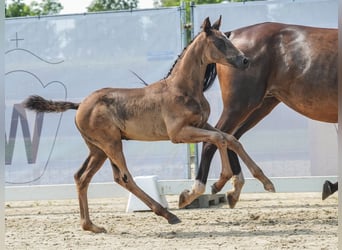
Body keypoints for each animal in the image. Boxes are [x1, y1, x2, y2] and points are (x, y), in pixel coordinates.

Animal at [24, 16, 270, 233]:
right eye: (219, 42)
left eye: (228, 39)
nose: (245, 61)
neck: (183, 88)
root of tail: (80, 105)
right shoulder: (179, 134)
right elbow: (219, 139)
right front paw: (219, 183)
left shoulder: (202, 123)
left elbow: (230, 138)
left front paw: (263, 182)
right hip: (111, 144)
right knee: (124, 177)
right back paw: (168, 214)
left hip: (98, 149)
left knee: (82, 177)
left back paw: (91, 226)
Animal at [178, 21, 338, 209]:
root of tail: (233, 34)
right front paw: (330, 186)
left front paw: (330, 186)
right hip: (240, 105)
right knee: (215, 139)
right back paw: (195, 192)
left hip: (261, 106)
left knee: (231, 137)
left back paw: (234, 188)